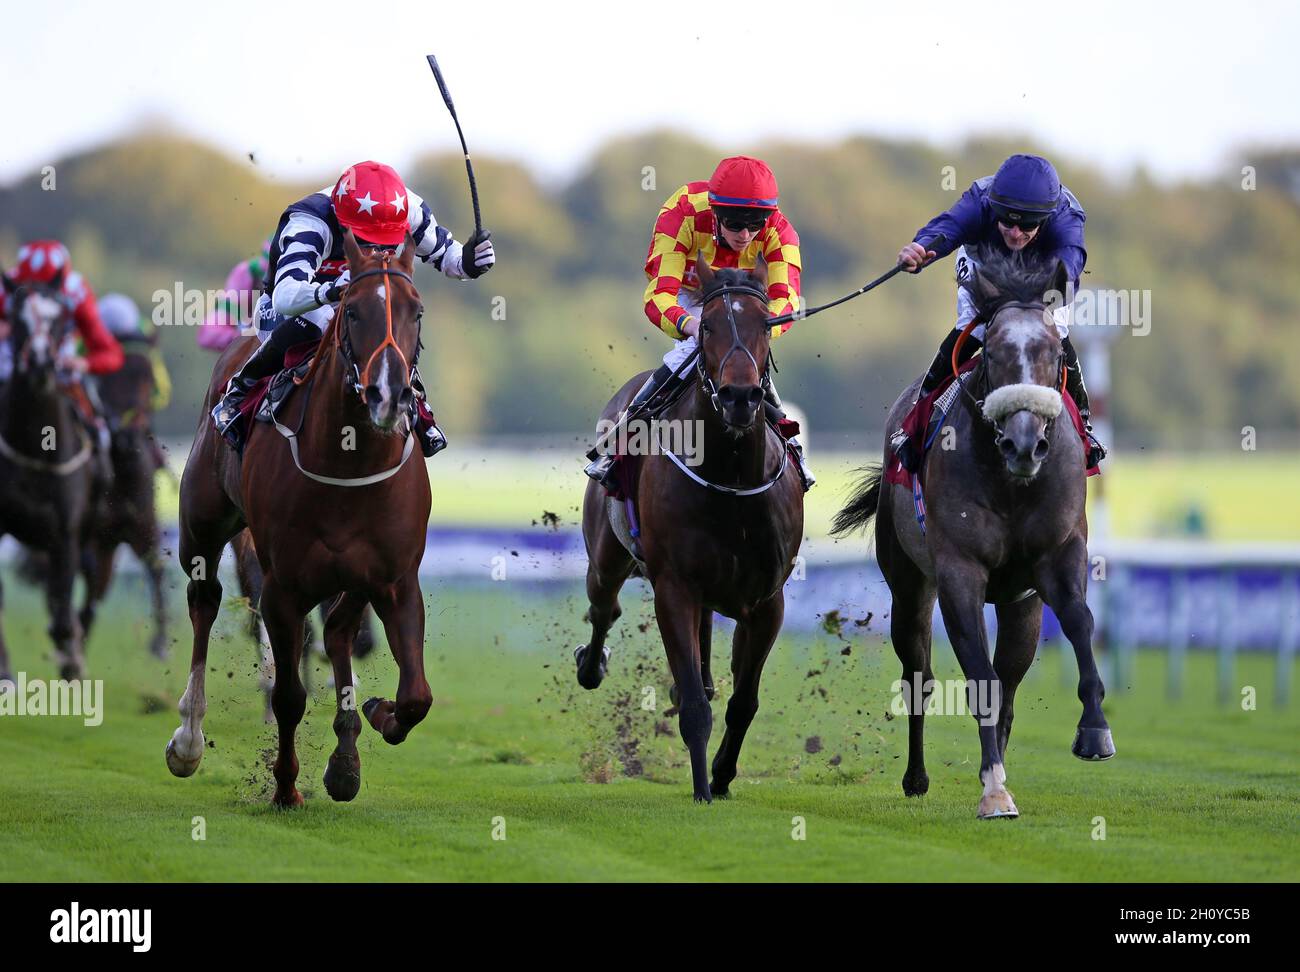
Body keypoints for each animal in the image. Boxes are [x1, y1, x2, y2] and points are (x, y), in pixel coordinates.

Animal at [0, 272, 104, 680]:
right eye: (16, 318)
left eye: (60, 319)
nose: (42, 365)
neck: (35, 446)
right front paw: (5, 675)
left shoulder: (66, 534)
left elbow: (62, 621)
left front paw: (73, 666)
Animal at [165, 231, 431, 810]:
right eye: (352, 311)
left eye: (416, 310)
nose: (389, 393)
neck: (348, 463)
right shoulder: (281, 586)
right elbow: (289, 694)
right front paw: (286, 786)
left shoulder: (394, 579)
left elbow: (415, 696)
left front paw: (370, 726)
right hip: (202, 526)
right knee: (204, 602)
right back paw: (189, 739)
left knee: (337, 633)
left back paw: (346, 756)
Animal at [577, 259, 800, 805]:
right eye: (708, 328)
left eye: (766, 325)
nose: (740, 397)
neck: (731, 477)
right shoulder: (675, 587)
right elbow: (698, 706)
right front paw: (702, 788)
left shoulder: (767, 601)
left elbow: (744, 700)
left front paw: (722, 774)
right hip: (606, 555)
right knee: (604, 607)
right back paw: (591, 664)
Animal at [837, 250, 1112, 821]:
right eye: (997, 352)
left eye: (1055, 352)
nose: (1025, 444)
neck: (1011, 482)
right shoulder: (959, 573)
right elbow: (977, 679)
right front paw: (994, 792)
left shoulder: (1057, 557)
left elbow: (1079, 624)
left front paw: (1094, 731)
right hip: (908, 585)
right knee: (919, 674)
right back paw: (919, 777)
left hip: (1020, 607)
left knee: (1009, 680)